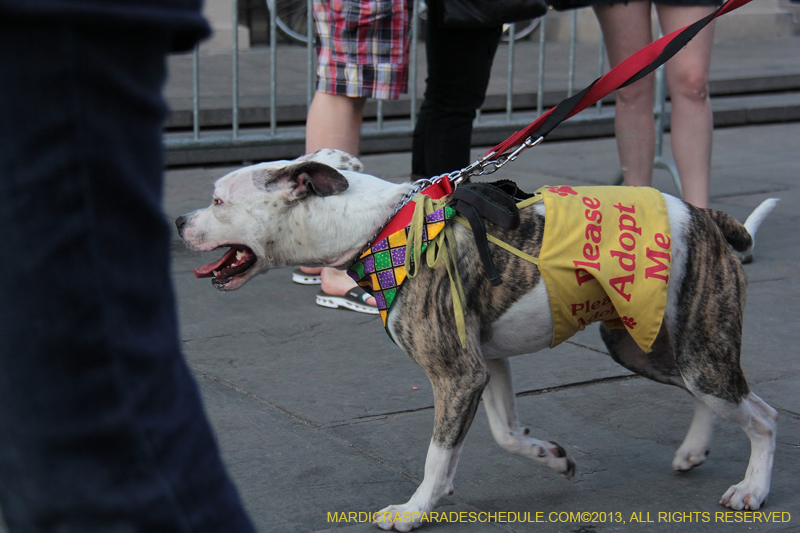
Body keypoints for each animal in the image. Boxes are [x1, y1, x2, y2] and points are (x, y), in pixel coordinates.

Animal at [177, 148, 780, 528]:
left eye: (218, 201)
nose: (179, 221)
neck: (375, 225)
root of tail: (705, 216)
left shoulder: (456, 374)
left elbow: (437, 453)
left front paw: (414, 511)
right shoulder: (487, 365)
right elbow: (505, 433)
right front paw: (550, 457)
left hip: (699, 347)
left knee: (762, 415)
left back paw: (753, 488)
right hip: (645, 345)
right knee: (712, 398)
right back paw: (694, 449)